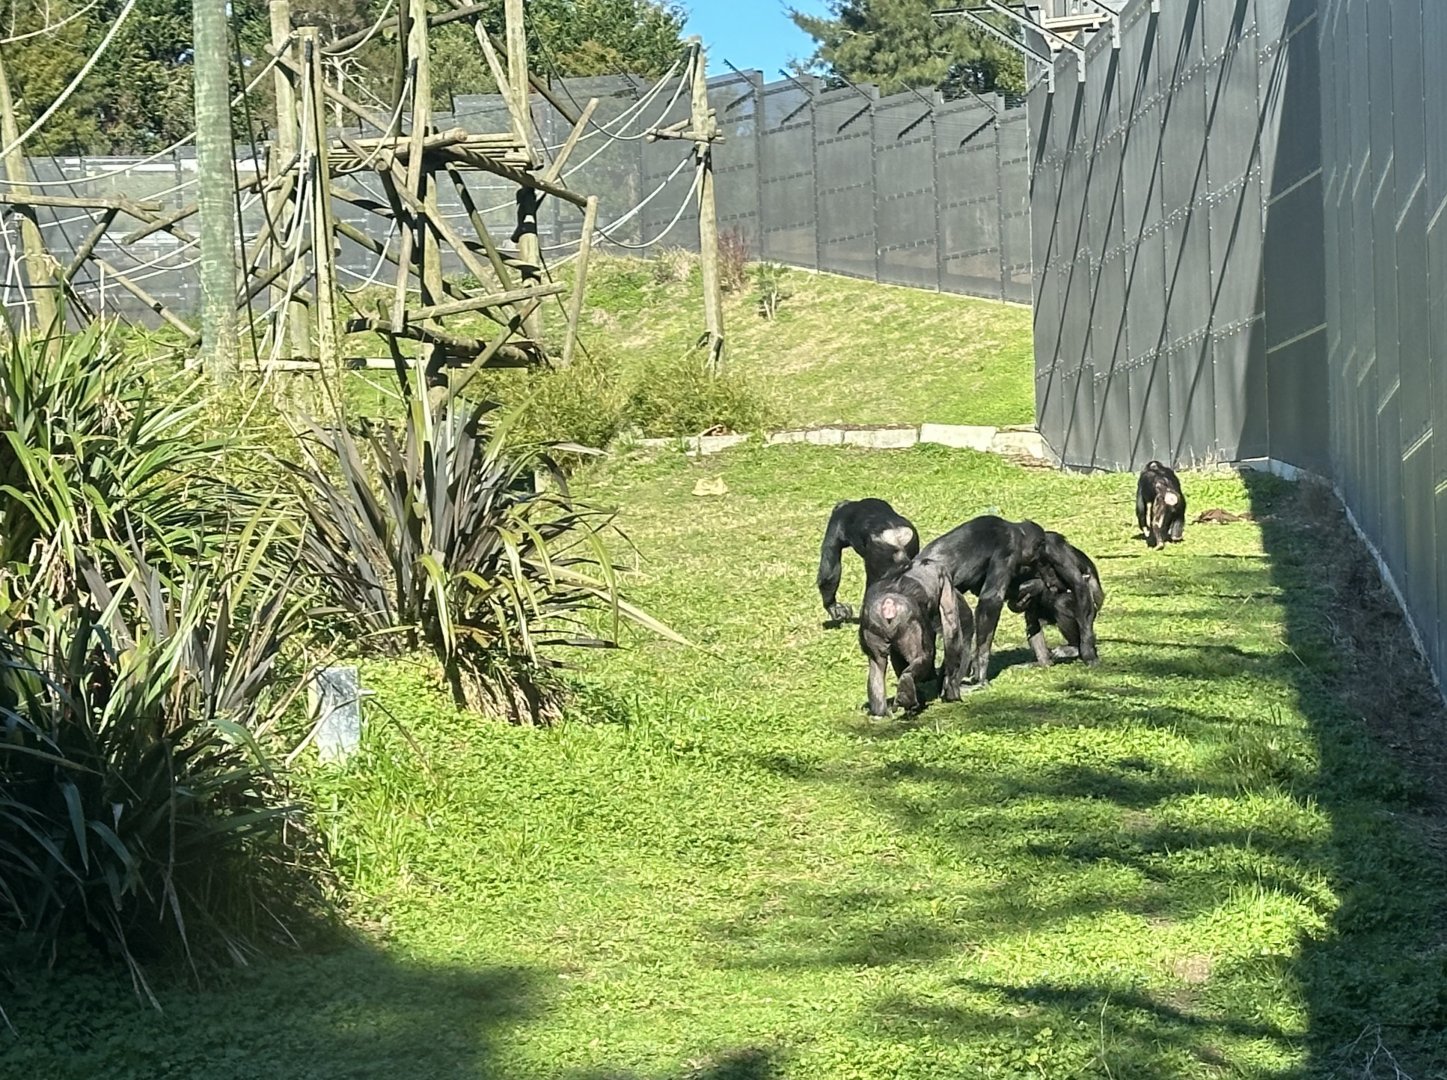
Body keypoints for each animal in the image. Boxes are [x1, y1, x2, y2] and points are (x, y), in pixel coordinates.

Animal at [858, 555, 971, 717]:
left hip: (872, 628)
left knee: (877, 665)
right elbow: (951, 624)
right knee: (922, 656)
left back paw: (881, 711)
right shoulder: (945, 579)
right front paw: (952, 691)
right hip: (910, 622)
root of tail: (888, 605)